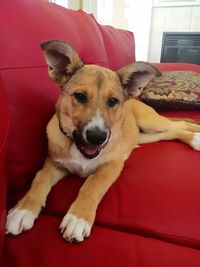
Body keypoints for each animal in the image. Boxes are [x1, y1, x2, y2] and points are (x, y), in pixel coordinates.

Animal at [5, 40, 200, 244]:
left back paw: (196, 136)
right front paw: (23, 210)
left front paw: (78, 218)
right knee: (170, 132)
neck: (80, 150)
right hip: (144, 135)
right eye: (80, 96)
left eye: (112, 101)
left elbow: (92, 183)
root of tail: (136, 100)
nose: (97, 137)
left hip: (150, 122)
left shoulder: (112, 165)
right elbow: (40, 178)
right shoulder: (54, 164)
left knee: (179, 123)